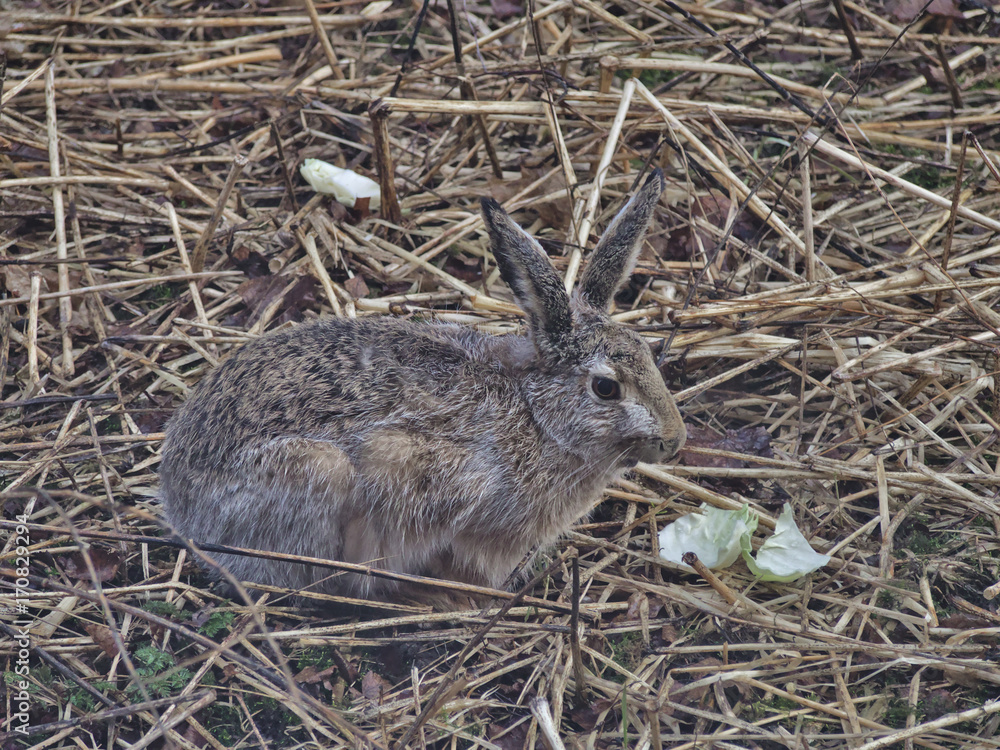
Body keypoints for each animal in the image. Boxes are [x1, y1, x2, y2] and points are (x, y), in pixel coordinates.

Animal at [159, 169, 685, 606]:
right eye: (605, 388)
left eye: (646, 351)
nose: (675, 439)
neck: (539, 417)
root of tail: (179, 506)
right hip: (319, 476)